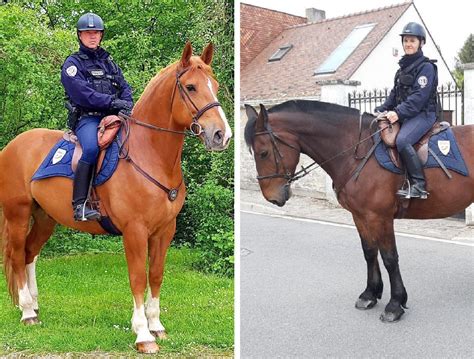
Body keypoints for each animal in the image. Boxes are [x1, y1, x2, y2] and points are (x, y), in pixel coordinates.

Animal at [0, 43, 232, 354]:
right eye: (191, 87)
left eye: (214, 86)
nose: (221, 135)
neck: (149, 155)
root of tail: (13, 146)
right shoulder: (134, 231)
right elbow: (137, 278)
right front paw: (143, 334)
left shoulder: (164, 231)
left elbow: (155, 274)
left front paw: (156, 325)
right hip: (18, 214)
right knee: (15, 256)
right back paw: (26, 311)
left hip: (45, 219)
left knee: (28, 253)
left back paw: (35, 308)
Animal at [244, 100, 474, 324]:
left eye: (263, 153)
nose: (271, 197)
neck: (355, 151)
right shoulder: (360, 216)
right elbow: (369, 252)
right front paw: (370, 294)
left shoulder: (380, 217)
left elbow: (390, 258)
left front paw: (395, 305)